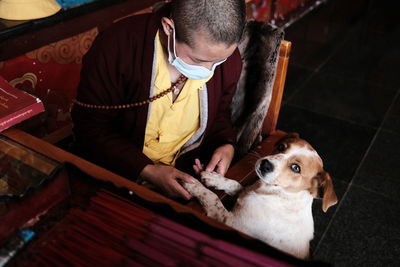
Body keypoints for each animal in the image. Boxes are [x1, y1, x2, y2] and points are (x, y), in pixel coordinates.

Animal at [184, 134, 338, 260]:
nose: (265, 164)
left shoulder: (231, 223)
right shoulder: (243, 193)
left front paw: (193, 185)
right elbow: (234, 184)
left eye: (296, 168)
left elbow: (212, 196)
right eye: (281, 147)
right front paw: (213, 177)